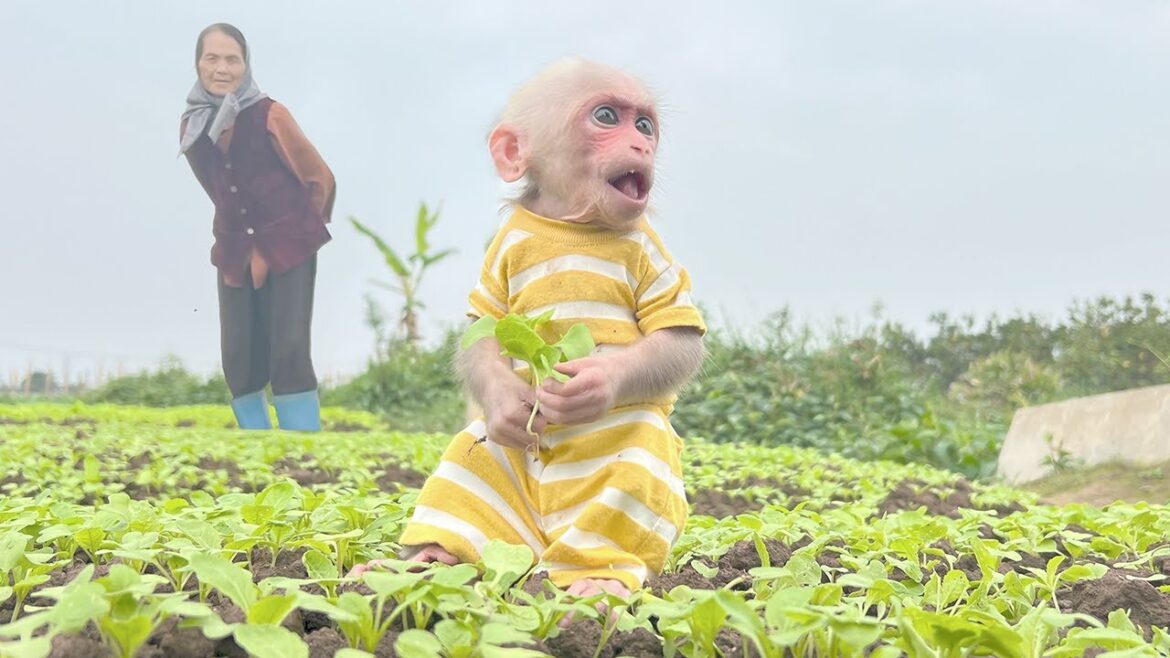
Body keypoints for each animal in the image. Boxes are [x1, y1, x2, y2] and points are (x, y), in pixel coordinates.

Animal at [351, 58, 706, 606]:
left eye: (645, 125)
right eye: (607, 117)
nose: (642, 146)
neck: (571, 224)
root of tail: (543, 540)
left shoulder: (654, 255)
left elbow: (677, 340)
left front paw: (590, 384)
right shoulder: (495, 269)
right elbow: (483, 334)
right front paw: (508, 400)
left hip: (629, 471)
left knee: (626, 485)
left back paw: (594, 583)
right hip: (489, 469)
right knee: (469, 476)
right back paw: (420, 563)